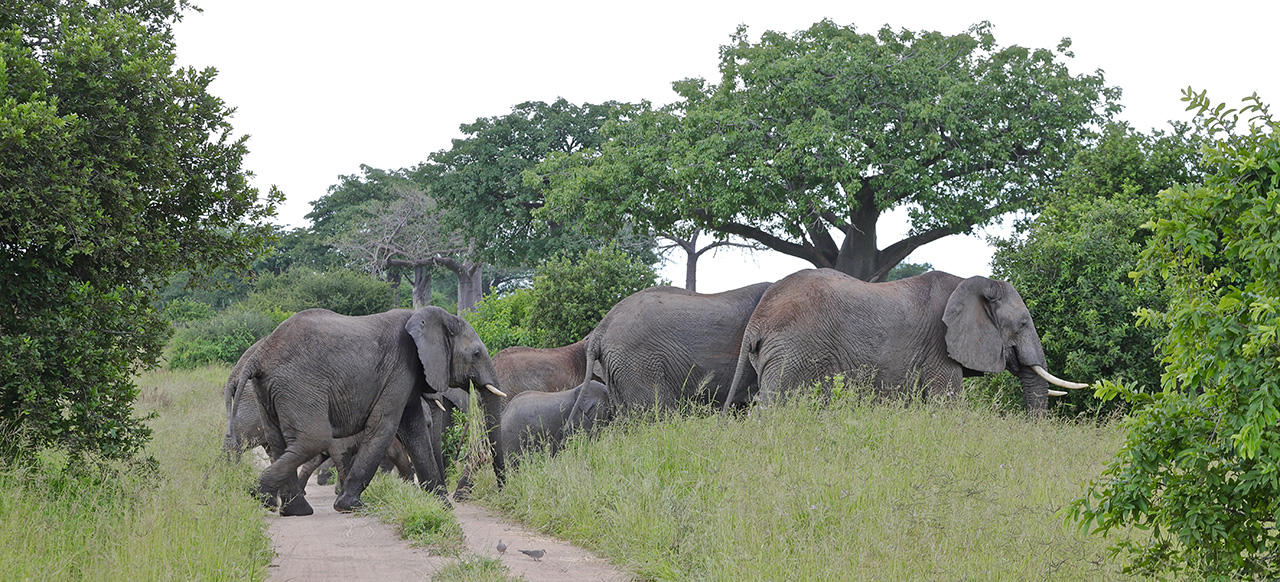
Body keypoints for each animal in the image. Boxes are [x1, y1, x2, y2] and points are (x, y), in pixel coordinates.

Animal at [232, 305, 501, 514]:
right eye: (476, 353)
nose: (502, 487)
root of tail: (259, 356)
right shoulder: (400, 367)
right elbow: (384, 425)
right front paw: (349, 506)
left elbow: (414, 432)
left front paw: (443, 507)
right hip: (298, 385)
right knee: (314, 439)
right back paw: (259, 494)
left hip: (267, 390)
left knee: (278, 442)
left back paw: (291, 509)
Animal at [727, 269, 1085, 414]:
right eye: (1022, 323)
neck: (973, 282)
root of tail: (756, 320)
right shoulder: (939, 348)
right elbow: (947, 403)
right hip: (794, 352)